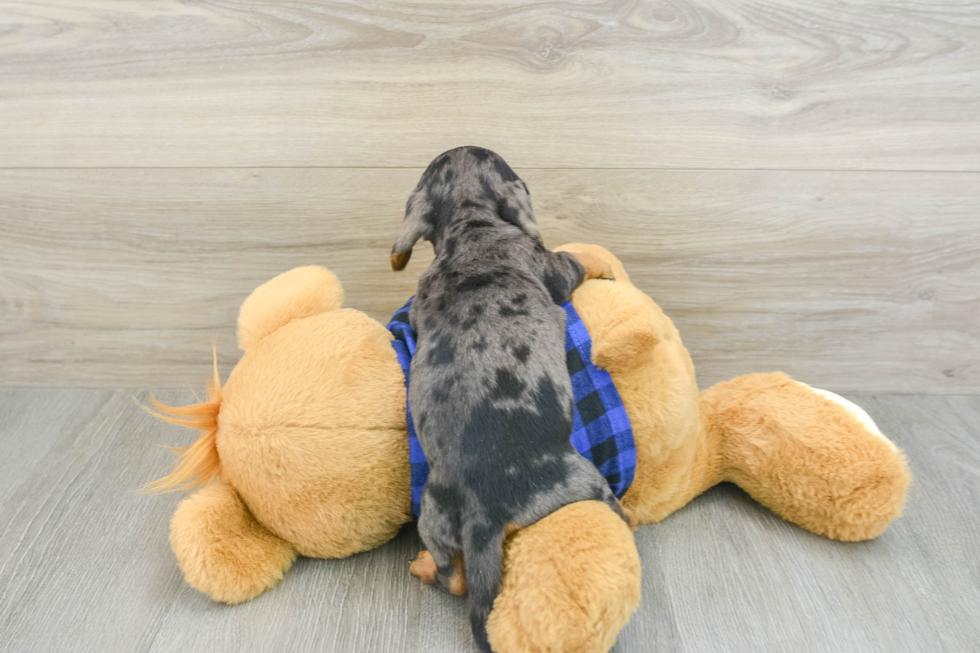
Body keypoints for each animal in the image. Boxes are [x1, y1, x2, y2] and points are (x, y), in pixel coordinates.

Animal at [390, 146, 628, 652]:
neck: (469, 225)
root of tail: (487, 510)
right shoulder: (551, 268)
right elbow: (575, 260)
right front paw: (600, 259)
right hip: (583, 482)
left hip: (434, 518)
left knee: (453, 578)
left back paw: (424, 565)